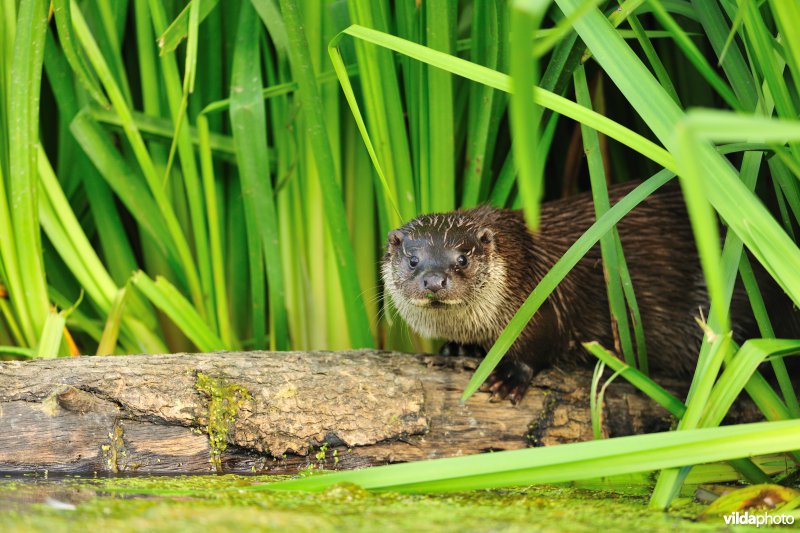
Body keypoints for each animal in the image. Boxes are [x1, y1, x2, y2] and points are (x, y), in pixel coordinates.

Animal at [382, 181, 799, 403]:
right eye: (414, 260)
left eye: (462, 258)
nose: (434, 280)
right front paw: (456, 350)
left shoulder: (539, 300)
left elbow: (541, 343)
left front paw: (509, 378)